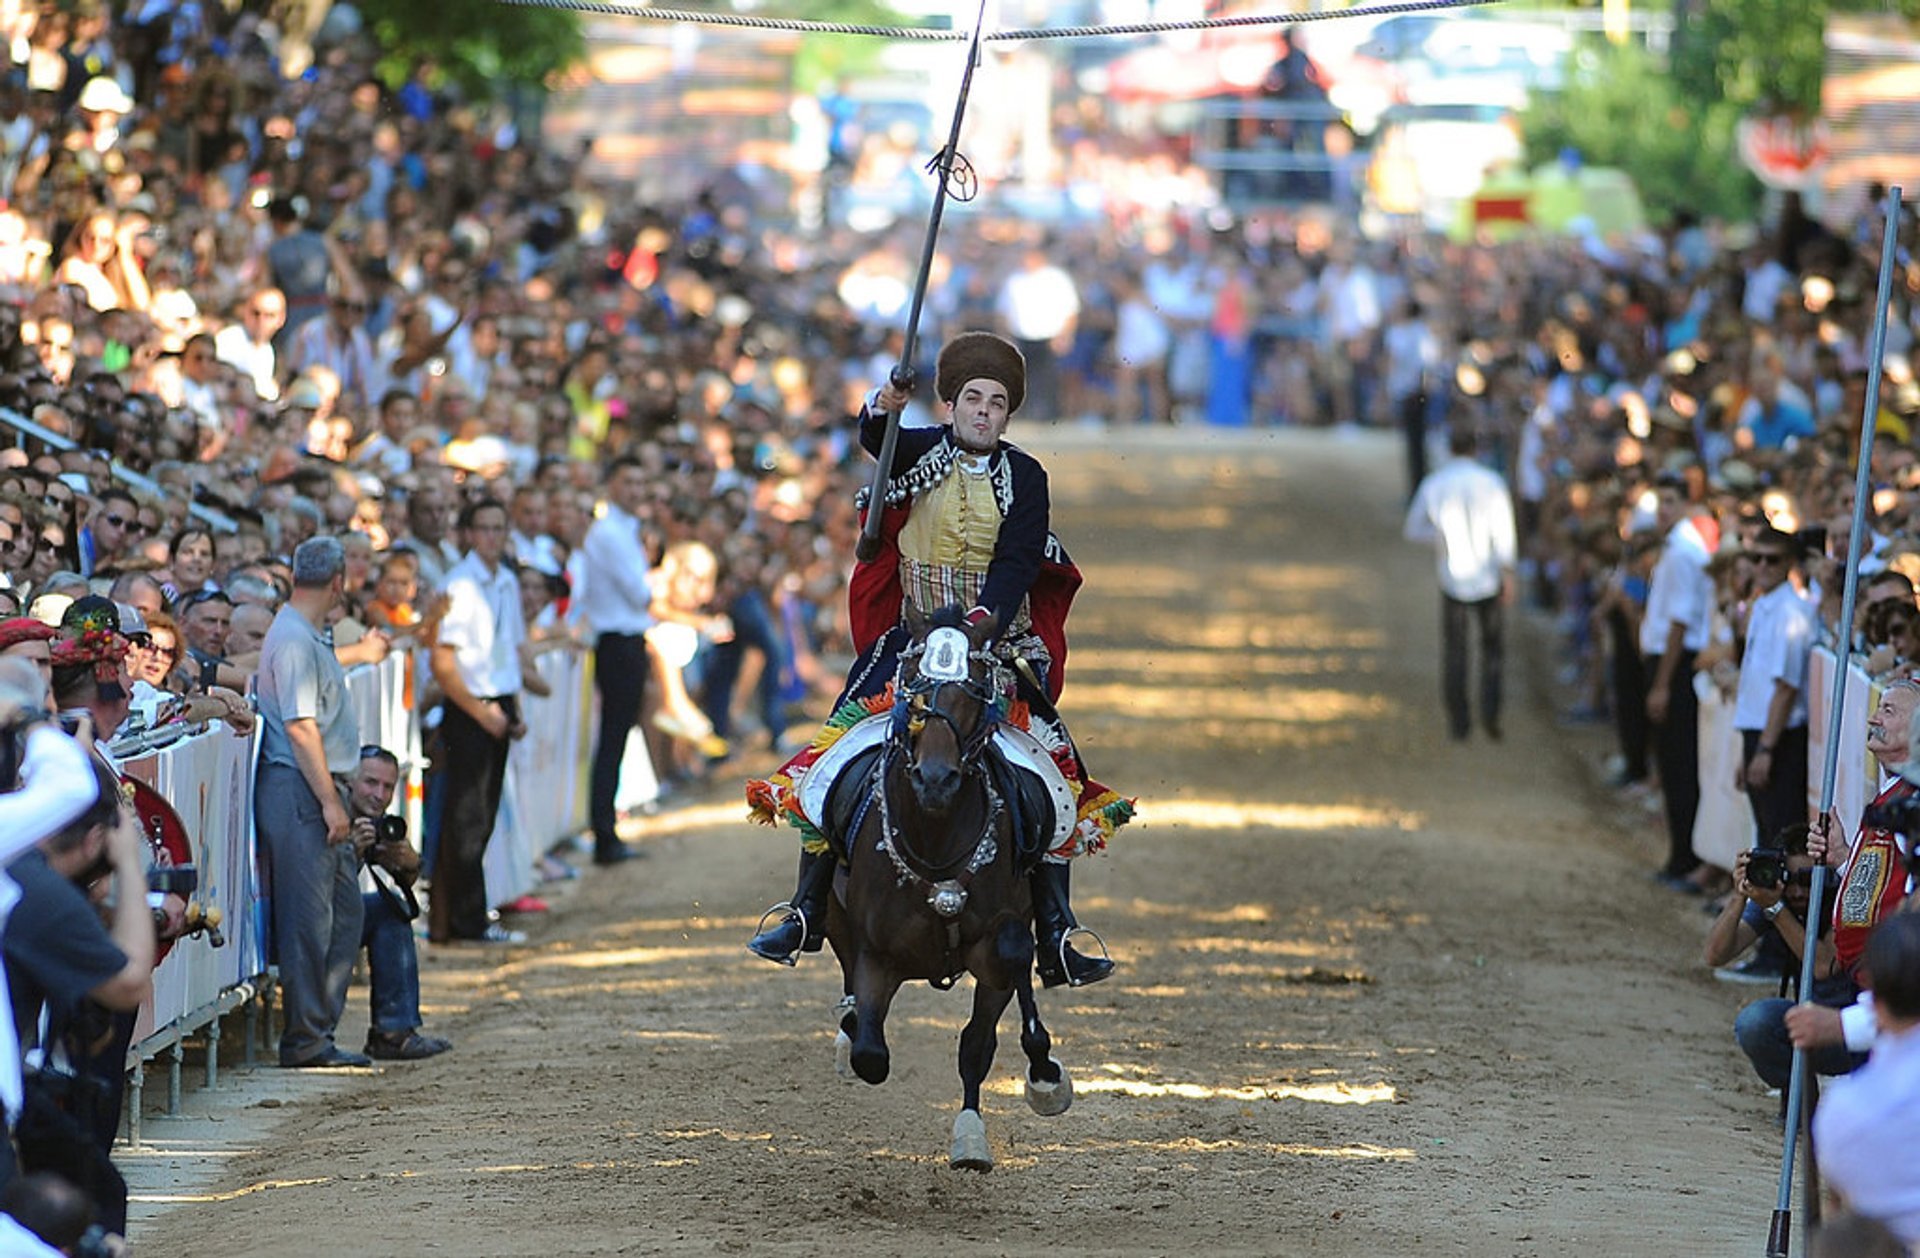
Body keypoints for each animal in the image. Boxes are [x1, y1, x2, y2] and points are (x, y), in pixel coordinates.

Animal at [821, 606, 1075, 1167]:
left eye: (976, 691)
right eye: (913, 690)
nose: (936, 780)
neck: (934, 839)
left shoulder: (994, 950)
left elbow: (979, 1039)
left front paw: (979, 1134)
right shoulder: (875, 954)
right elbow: (871, 1053)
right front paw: (855, 1038)